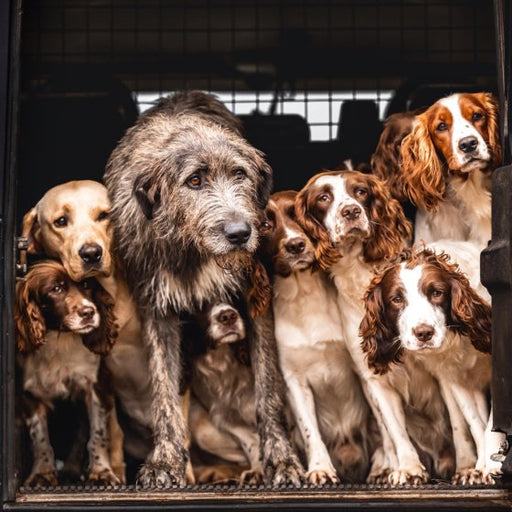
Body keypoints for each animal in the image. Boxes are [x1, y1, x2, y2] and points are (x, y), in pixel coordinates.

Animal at [103, 91, 304, 488]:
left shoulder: (255, 300)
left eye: (240, 174)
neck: (195, 250)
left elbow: (268, 389)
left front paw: (281, 458)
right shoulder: (157, 308)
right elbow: (163, 388)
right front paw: (165, 461)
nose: (240, 233)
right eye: (194, 181)